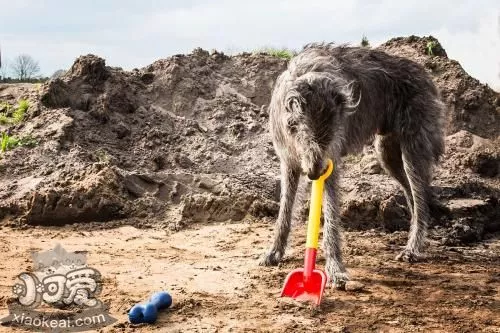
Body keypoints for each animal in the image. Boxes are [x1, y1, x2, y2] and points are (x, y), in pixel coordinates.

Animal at [260, 43, 444, 288]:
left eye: (332, 133)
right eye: (303, 131)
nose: (314, 173)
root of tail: (425, 74)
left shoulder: (331, 160)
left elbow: (330, 216)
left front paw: (336, 270)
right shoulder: (289, 161)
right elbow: (285, 211)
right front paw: (274, 252)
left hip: (412, 149)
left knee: (421, 195)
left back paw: (413, 248)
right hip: (387, 153)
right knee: (413, 194)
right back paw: (416, 238)